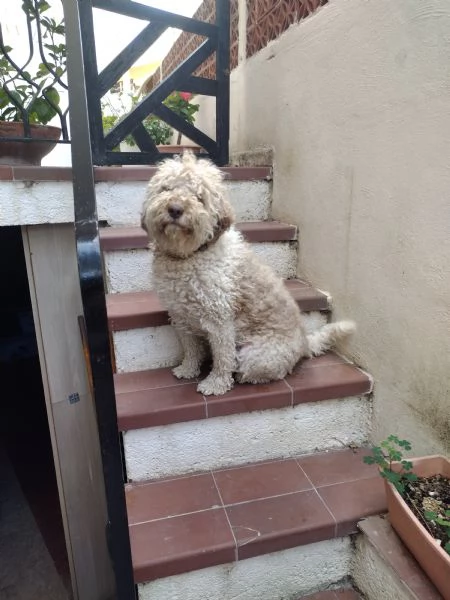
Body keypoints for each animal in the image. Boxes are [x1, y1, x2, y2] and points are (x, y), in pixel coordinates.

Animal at [142, 150, 356, 396]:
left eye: (199, 196)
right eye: (166, 189)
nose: (175, 209)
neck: (188, 256)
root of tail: (303, 343)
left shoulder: (219, 319)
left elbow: (223, 356)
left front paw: (216, 384)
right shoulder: (180, 314)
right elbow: (191, 347)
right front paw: (187, 369)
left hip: (255, 355)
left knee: (263, 370)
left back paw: (242, 376)